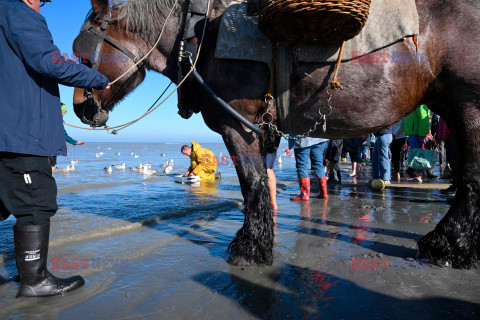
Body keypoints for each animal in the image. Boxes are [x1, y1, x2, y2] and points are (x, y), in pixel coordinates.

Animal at [73, 0, 480, 268]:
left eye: (82, 54)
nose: (78, 106)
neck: (200, 34)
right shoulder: (262, 129)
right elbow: (261, 184)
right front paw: (260, 238)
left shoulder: (237, 124)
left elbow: (251, 184)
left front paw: (250, 247)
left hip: (468, 105)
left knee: (471, 178)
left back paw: (450, 243)